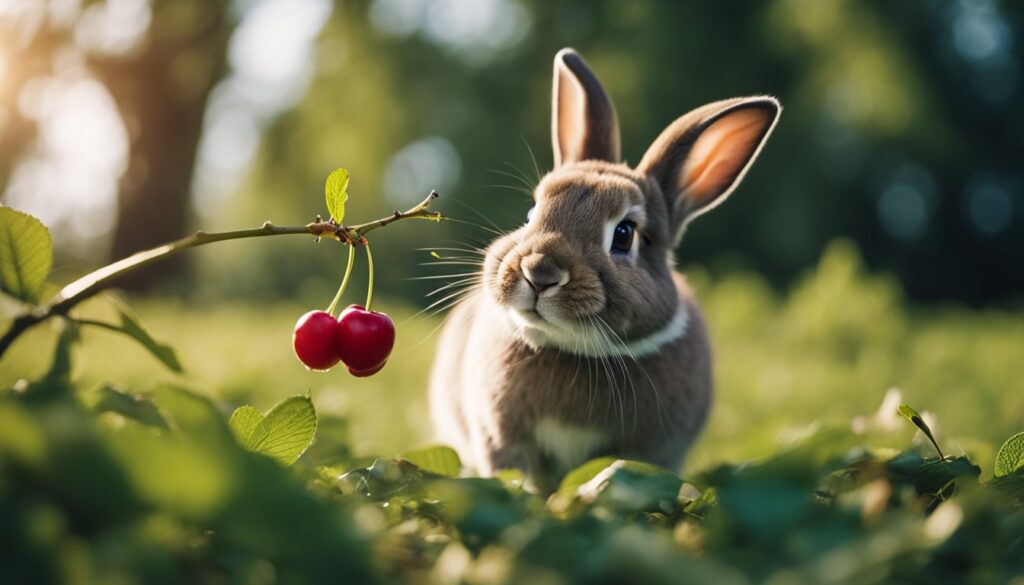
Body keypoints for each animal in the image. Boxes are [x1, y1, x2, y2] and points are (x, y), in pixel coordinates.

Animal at [429, 48, 780, 492]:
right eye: (531, 213)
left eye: (625, 234)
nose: (539, 273)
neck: (572, 348)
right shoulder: (500, 438)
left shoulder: (649, 449)